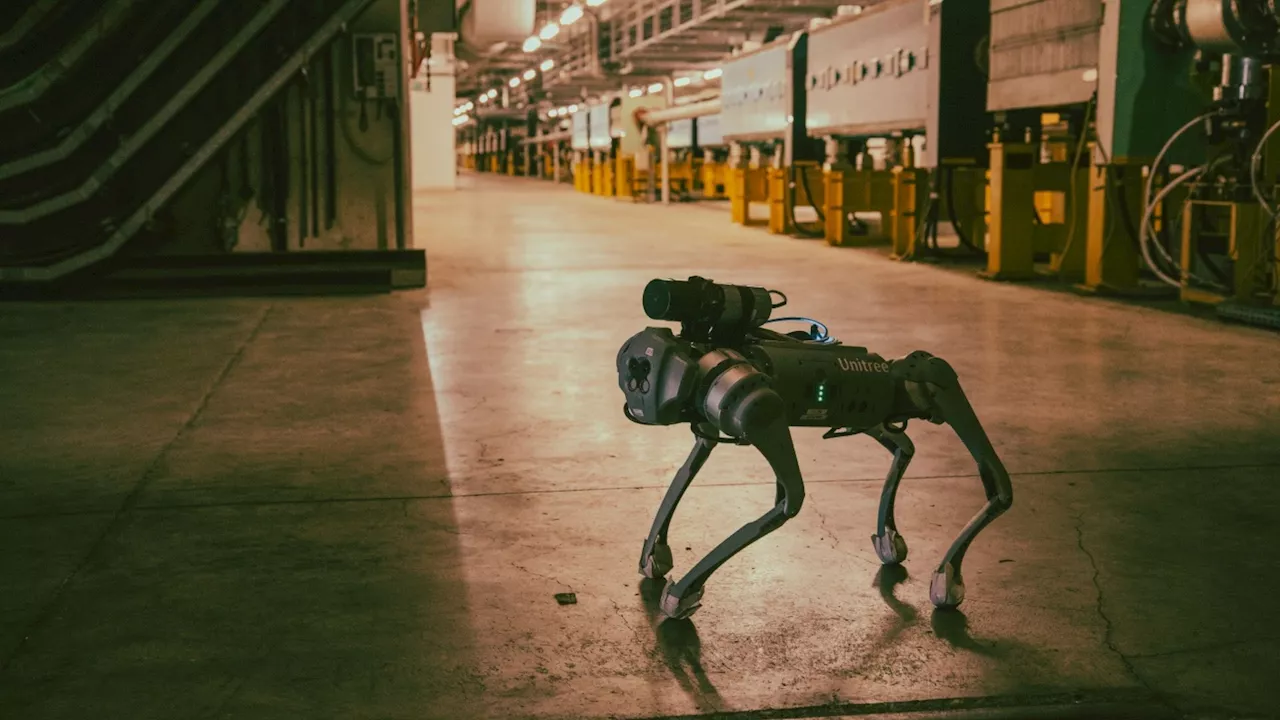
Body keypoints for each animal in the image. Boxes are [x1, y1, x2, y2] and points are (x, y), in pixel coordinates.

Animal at [614, 274, 1013, 617]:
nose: (637, 372)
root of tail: (892, 369)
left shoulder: (759, 409)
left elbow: (790, 500)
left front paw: (682, 592)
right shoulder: (718, 425)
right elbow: (692, 474)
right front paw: (654, 555)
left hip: (923, 387)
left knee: (995, 480)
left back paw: (945, 569)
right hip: (873, 415)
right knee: (906, 444)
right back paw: (890, 537)